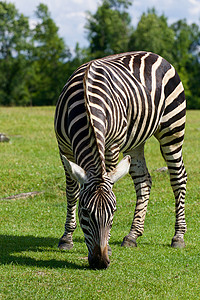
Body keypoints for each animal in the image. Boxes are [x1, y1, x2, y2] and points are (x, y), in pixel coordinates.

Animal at [54, 51, 187, 270]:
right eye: (85, 211)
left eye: (113, 212)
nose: (101, 262)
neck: (86, 103)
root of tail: (154, 54)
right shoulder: (63, 147)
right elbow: (72, 192)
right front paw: (66, 238)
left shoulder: (113, 145)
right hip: (135, 141)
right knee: (144, 181)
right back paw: (132, 235)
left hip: (173, 129)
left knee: (178, 178)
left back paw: (178, 236)